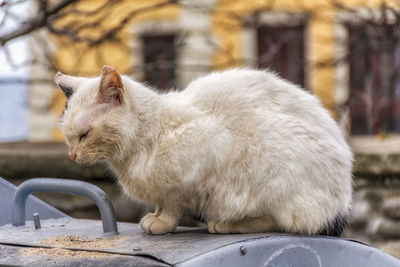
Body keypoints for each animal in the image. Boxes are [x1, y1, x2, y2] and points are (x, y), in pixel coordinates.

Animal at [54, 66, 352, 237]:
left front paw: (162, 223)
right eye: (68, 137)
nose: (71, 156)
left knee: (289, 222)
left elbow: (173, 205)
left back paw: (225, 224)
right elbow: (161, 202)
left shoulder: (201, 159)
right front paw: (154, 216)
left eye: (85, 134)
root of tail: (342, 203)